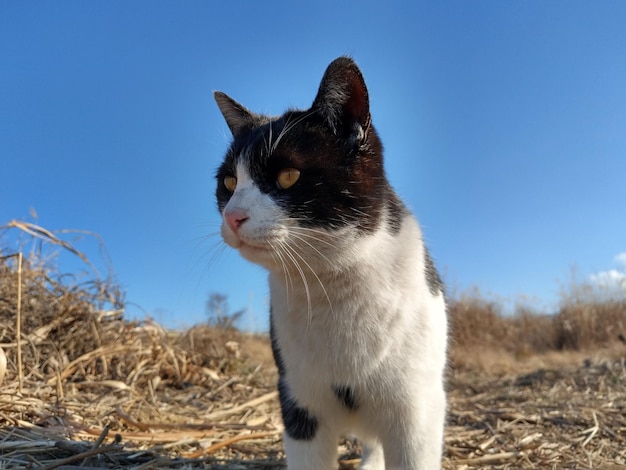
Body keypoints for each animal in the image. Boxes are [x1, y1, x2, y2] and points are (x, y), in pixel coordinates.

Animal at [212, 57, 446, 468]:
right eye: (228, 183)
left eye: (288, 176)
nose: (233, 216)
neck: (329, 285)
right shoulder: (299, 401)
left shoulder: (416, 408)